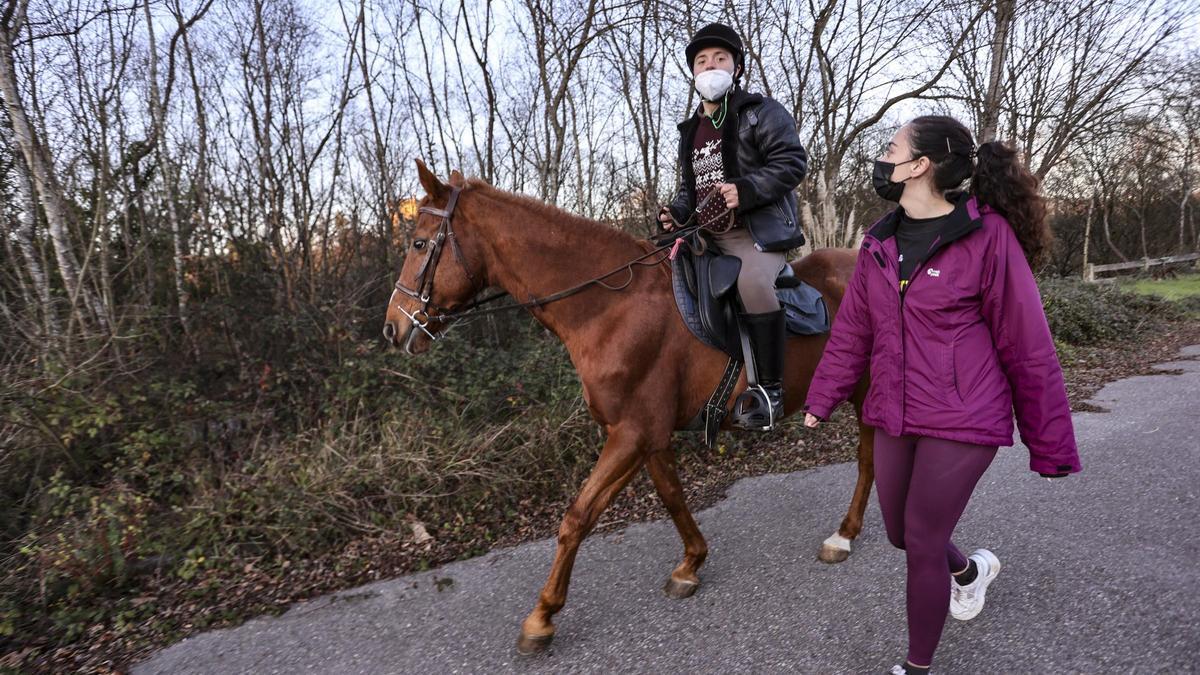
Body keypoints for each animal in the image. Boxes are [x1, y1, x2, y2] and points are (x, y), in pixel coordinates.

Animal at [388, 162, 878, 653]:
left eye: (419, 243)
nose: (393, 327)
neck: (610, 306)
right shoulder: (645, 435)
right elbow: (669, 498)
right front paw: (690, 564)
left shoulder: (631, 435)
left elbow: (577, 517)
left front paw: (542, 616)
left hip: (867, 391)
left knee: (868, 461)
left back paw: (844, 535)